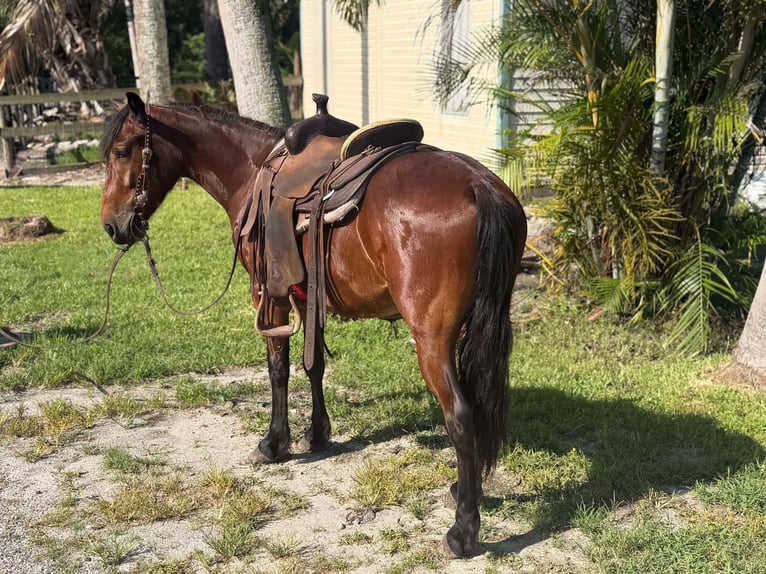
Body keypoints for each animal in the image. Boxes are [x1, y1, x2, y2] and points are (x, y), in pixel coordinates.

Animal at [100, 92, 527, 558]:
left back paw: (463, 528)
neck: (250, 170)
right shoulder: (307, 297)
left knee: (460, 415)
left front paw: (273, 443)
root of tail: (478, 186)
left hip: (432, 338)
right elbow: (314, 366)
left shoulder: (268, 294)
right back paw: (466, 491)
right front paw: (318, 435)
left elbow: (278, 369)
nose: (111, 225)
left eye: (121, 151)